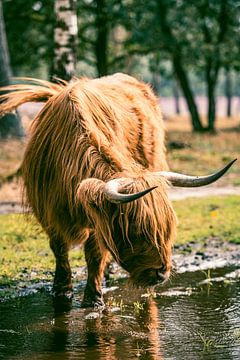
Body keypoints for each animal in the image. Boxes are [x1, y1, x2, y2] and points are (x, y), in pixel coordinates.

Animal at [0, 74, 234, 306]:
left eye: (167, 229)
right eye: (137, 230)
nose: (162, 274)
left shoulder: (97, 215)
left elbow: (95, 252)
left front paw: (93, 298)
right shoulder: (47, 211)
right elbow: (59, 248)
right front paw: (62, 290)